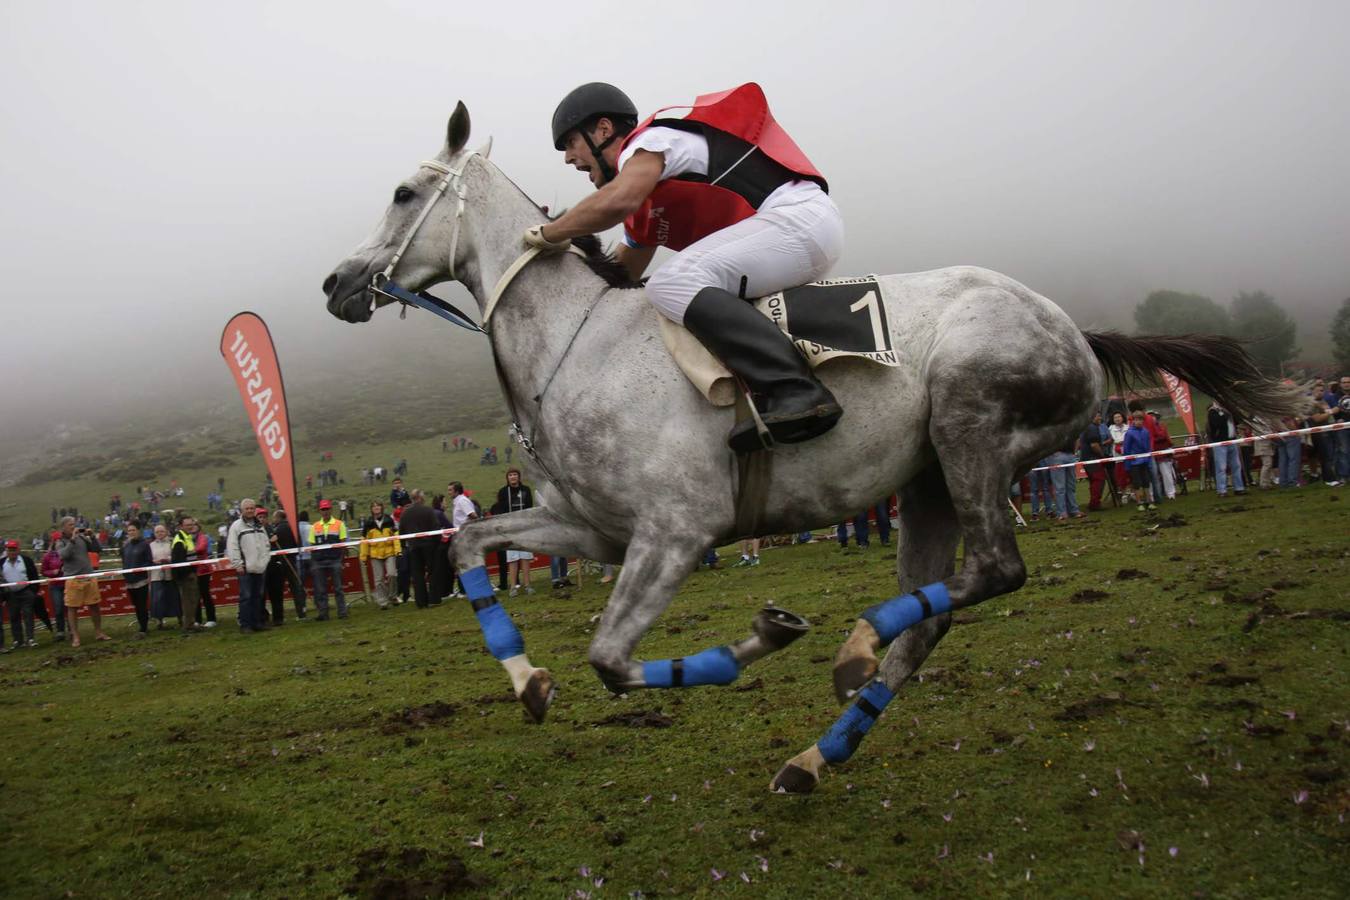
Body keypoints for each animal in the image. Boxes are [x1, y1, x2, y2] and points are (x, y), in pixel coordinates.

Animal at [321, 107, 1301, 793]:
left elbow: (613, 660)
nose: (335, 284)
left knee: (996, 570)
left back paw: (853, 646)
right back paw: (820, 751)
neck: (578, 340)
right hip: (929, 482)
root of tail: (1076, 334)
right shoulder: (594, 530)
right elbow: (466, 544)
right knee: (936, 610)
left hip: (972, 431)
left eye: (403, 194)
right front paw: (527, 680)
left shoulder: (676, 531)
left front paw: (765, 634)